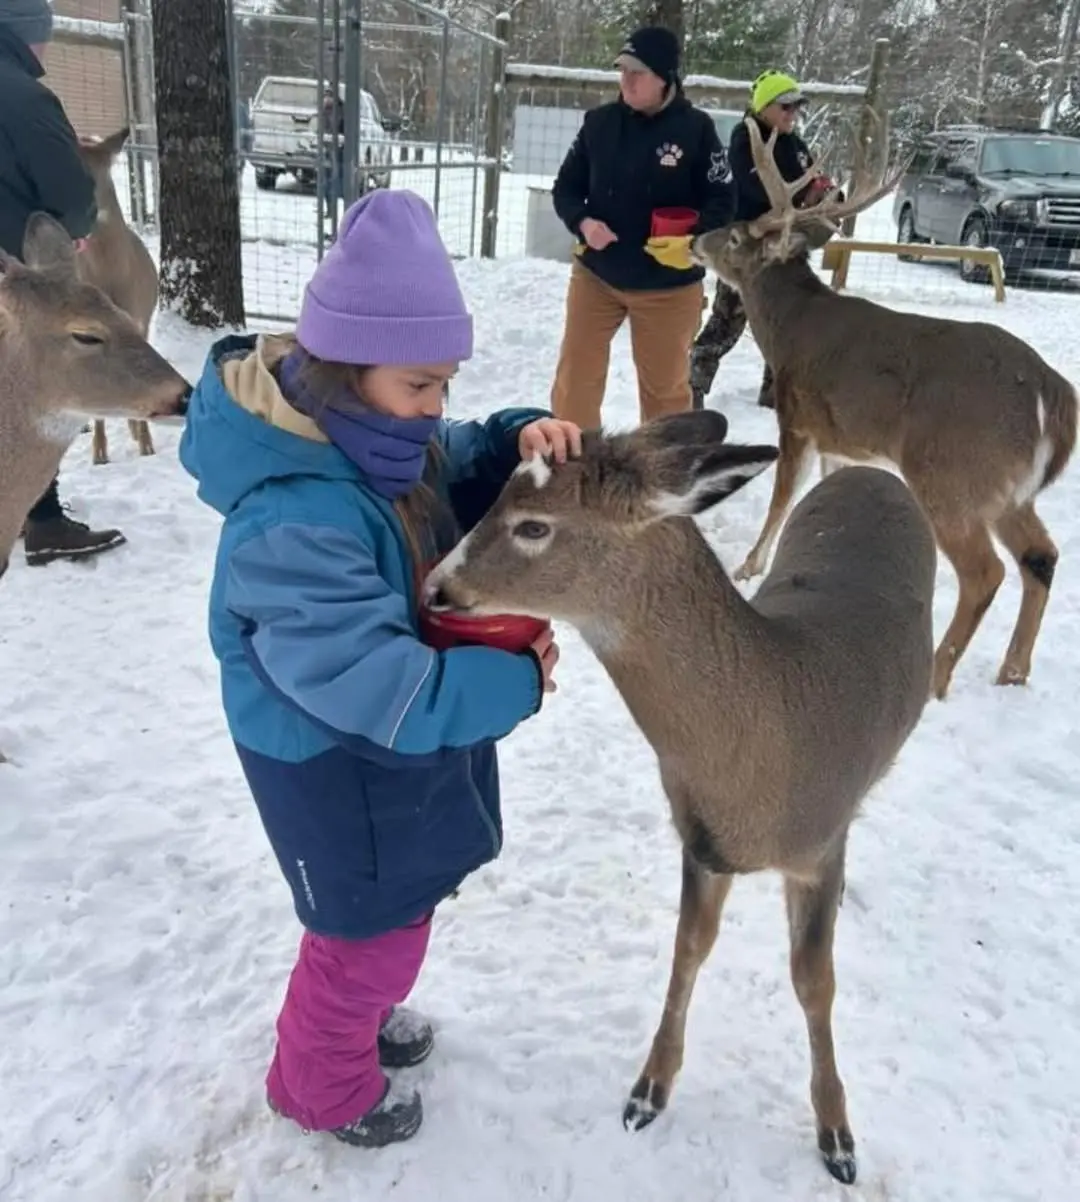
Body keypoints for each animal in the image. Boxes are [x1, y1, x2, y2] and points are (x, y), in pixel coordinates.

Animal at [423, 409, 937, 1185]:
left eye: (535, 525)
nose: (436, 587)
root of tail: (872, 473)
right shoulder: (700, 842)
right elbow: (689, 946)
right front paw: (648, 1092)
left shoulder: (816, 848)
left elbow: (814, 981)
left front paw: (838, 1136)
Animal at [691, 115, 1078, 701]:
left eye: (735, 235)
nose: (694, 240)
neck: (786, 329)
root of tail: (1051, 392)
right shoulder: (841, 441)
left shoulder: (797, 417)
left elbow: (781, 498)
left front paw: (747, 568)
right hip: (1007, 489)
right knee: (1041, 556)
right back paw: (1012, 672)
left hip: (951, 470)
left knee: (984, 572)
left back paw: (938, 678)